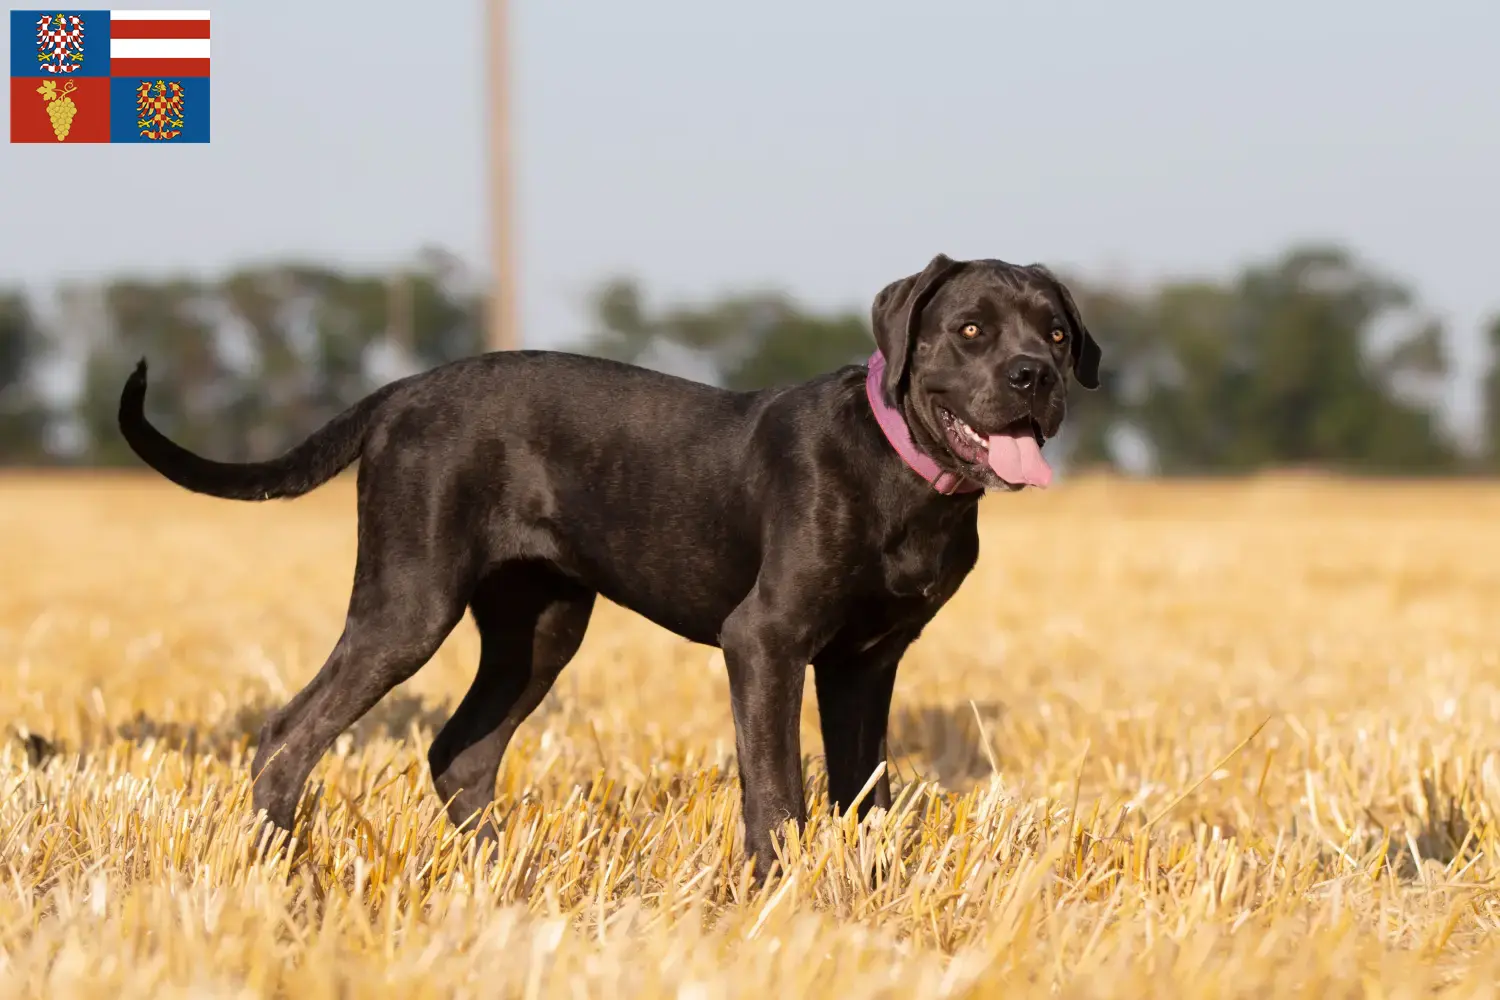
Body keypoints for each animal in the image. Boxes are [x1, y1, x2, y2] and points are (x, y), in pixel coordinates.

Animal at [117, 251, 1104, 881]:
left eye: (1056, 334)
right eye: (970, 329)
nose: (1033, 377)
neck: (903, 471)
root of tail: (400, 391)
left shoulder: (866, 663)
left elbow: (869, 796)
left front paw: (875, 904)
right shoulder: (766, 641)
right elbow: (777, 791)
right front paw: (782, 902)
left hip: (539, 626)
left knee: (461, 752)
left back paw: (502, 884)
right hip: (408, 604)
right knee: (292, 733)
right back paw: (276, 874)